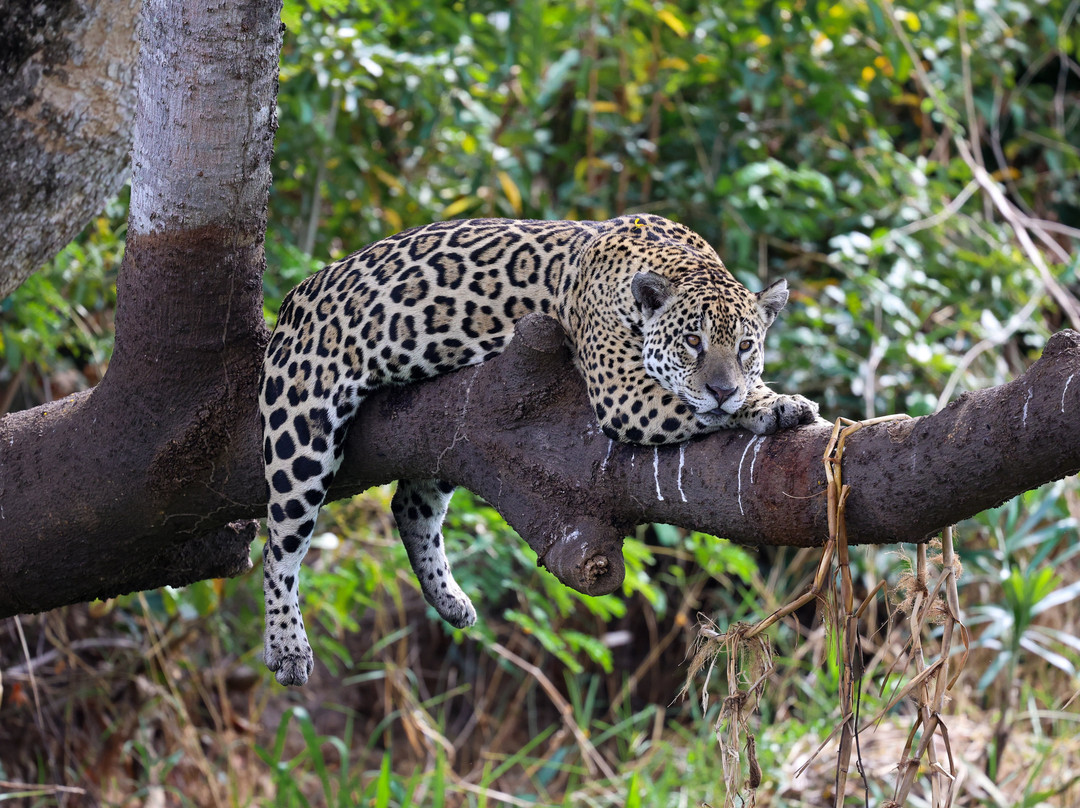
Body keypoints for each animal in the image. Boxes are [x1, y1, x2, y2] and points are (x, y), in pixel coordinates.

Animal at [260, 213, 819, 686]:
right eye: (692, 343)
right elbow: (700, 407)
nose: (724, 387)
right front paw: (773, 403)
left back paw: (451, 601)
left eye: (745, 345)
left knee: (409, 505)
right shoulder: (624, 393)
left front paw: (769, 398)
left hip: (440, 431)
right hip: (300, 428)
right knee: (279, 546)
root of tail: (290, 301)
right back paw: (287, 647)